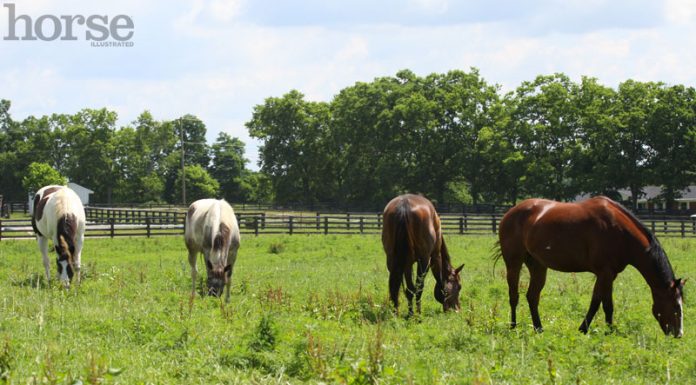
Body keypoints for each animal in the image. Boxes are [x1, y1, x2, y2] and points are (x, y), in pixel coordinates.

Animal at [494, 195, 684, 336]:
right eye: (676, 306)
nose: (678, 334)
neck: (620, 231)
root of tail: (510, 213)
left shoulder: (610, 275)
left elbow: (607, 304)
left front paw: (609, 330)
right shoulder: (604, 273)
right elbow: (597, 303)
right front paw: (584, 329)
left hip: (538, 266)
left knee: (532, 297)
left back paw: (539, 328)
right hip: (514, 263)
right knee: (514, 295)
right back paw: (513, 326)